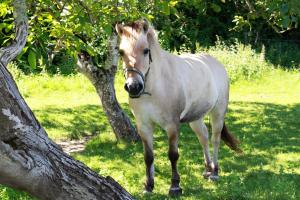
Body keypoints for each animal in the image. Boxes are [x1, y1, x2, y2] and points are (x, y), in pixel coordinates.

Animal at [115, 19, 241, 195]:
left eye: (146, 51)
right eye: (121, 52)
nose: (133, 87)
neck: (154, 88)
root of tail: (216, 63)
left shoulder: (172, 125)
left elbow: (173, 155)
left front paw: (175, 186)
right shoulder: (144, 126)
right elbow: (148, 157)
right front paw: (148, 186)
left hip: (218, 113)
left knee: (215, 139)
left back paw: (215, 172)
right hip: (196, 119)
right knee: (203, 137)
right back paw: (207, 169)